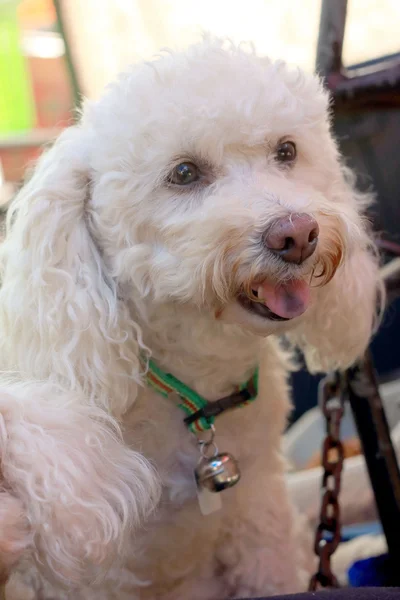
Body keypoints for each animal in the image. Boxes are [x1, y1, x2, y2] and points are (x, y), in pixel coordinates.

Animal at [0, 39, 382, 596]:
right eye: (183, 173)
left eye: (287, 151)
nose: (297, 234)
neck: (197, 391)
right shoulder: (98, 576)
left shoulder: (258, 506)